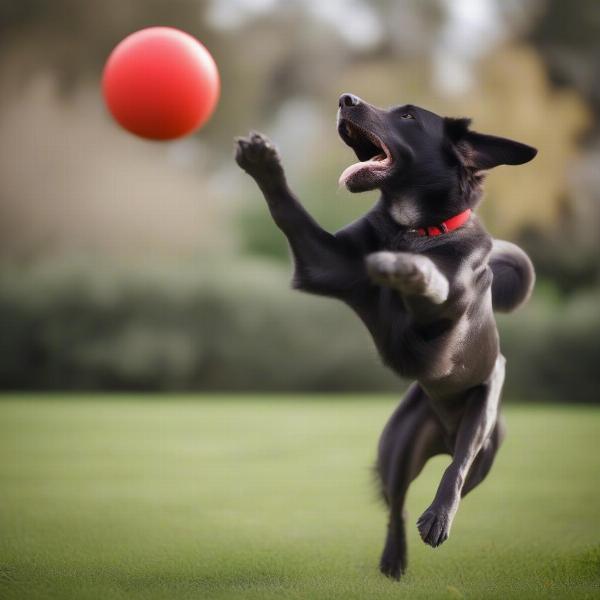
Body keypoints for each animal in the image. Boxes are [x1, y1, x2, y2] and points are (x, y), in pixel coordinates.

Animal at [232, 92, 536, 576]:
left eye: (408, 115)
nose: (346, 99)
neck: (413, 228)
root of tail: (444, 432)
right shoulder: (325, 263)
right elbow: (288, 211)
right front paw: (263, 163)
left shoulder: (446, 307)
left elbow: (431, 279)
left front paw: (404, 266)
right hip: (397, 446)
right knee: (398, 506)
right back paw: (394, 560)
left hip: (482, 422)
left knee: (457, 469)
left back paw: (439, 516)